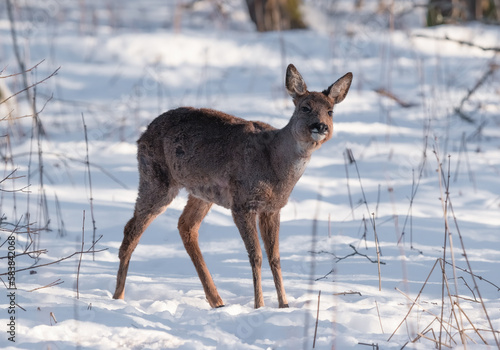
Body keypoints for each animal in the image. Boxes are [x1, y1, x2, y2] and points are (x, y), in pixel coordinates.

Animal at [113, 64, 352, 308]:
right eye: (305, 107)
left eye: (330, 111)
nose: (320, 126)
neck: (274, 163)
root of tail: (143, 134)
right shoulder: (242, 203)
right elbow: (256, 255)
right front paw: (259, 305)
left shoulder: (273, 208)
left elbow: (275, 257)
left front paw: (284, 305)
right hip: (156, 178)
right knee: (132, 228)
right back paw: (118, 297)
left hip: (201, 193)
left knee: (186, 226)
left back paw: (217, 301)